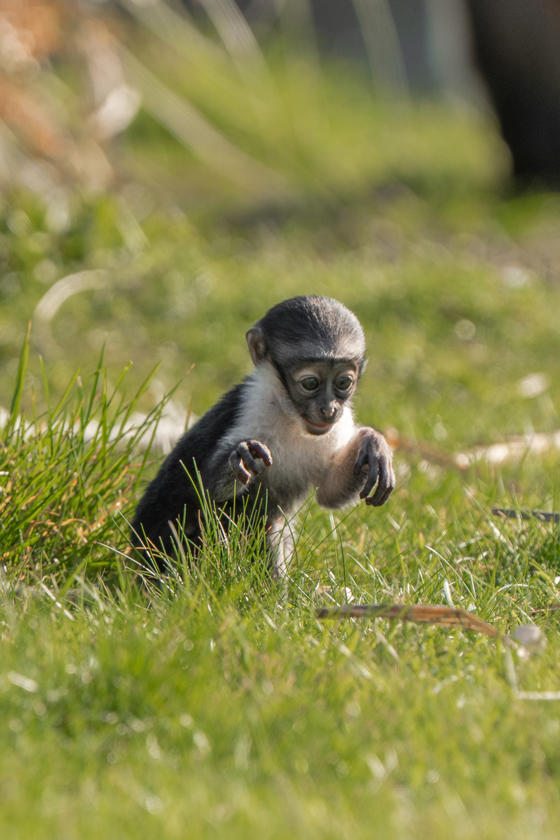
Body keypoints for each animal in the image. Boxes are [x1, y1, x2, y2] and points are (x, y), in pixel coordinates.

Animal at [131, 296, 395, 576]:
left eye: (343, 383)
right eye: (310, 383)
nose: (329, 409)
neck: (290, 415)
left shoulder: (338, 426)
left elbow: (329, 494)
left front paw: (373, 444)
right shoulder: (251, 406)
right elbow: (203, 489)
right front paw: (241, 456)